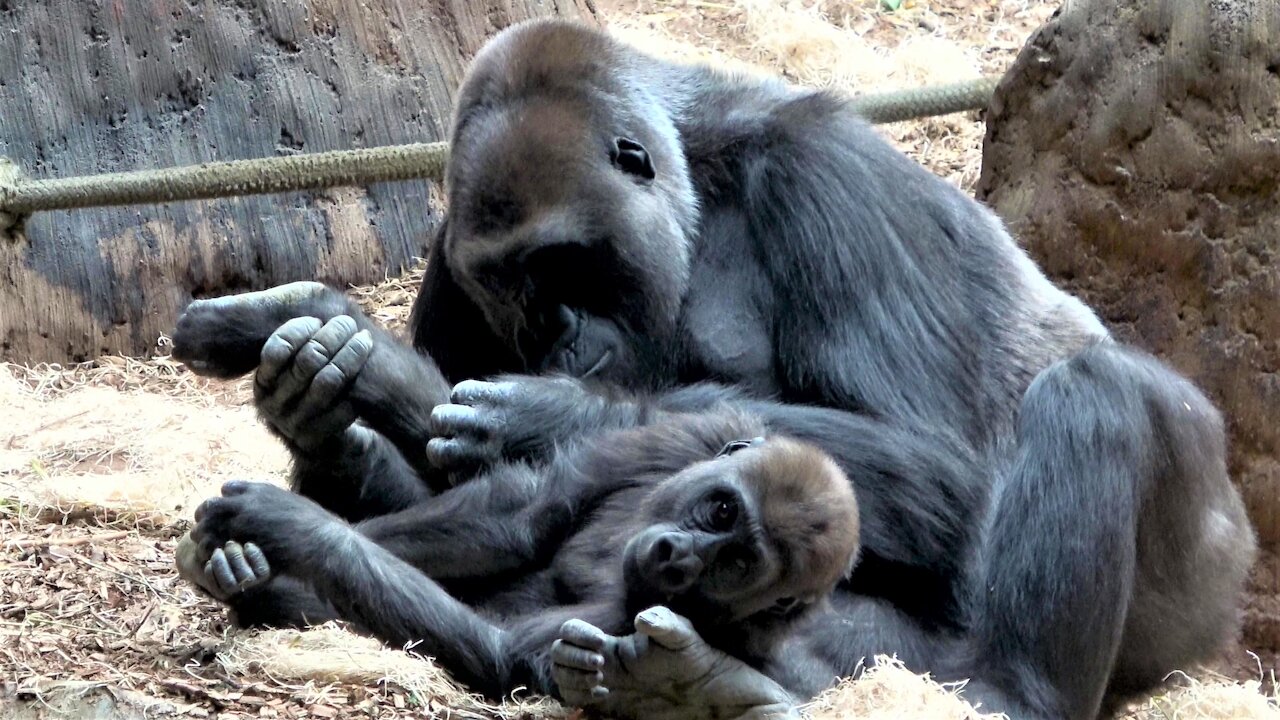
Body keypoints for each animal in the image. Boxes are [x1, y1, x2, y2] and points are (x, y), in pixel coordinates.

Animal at [180, 404, 860, 712]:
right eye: (721, 512)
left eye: (738, 566)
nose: (676, 554)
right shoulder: (696, 432)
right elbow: (524, 516)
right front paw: (229, 554)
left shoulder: (669, 626)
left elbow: (507, 652)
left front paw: (295, 526)